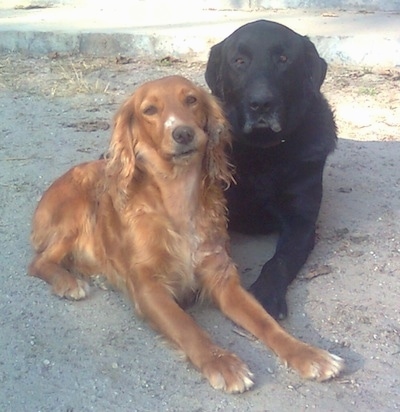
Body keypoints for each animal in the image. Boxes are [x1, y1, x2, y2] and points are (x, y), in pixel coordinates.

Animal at [28, 75, 342, 392]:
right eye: (149, 110)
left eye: (191, 100)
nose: (183, 133)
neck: (177, 196)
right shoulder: (149, 288)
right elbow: (188, 327)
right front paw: (222, 362)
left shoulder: (223, 279)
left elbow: (266, 322)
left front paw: (307, 353)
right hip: (79, 211)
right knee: (38, 262)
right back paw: (68, 283)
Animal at [206, 20, 338, 320]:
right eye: (239, 61)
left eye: (284, 59)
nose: (261, 104)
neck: (262, 150)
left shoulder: (301, 223)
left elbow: (278, 262)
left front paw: (265, 294)